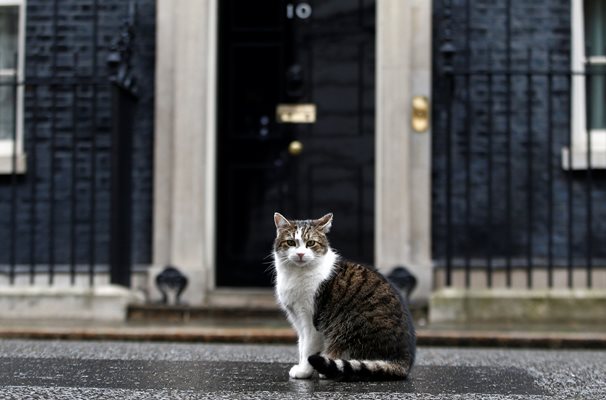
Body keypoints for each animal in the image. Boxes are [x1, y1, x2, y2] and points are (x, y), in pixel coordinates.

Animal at [274, 212, 418, 382]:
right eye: (291, 242)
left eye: (311, 243)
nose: (300, 254)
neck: (295, 274)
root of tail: (404, 360)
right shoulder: (298, 320)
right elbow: (302, 346)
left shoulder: (311, 321)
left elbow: (308, 349)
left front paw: (303, 371)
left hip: (348, 328)